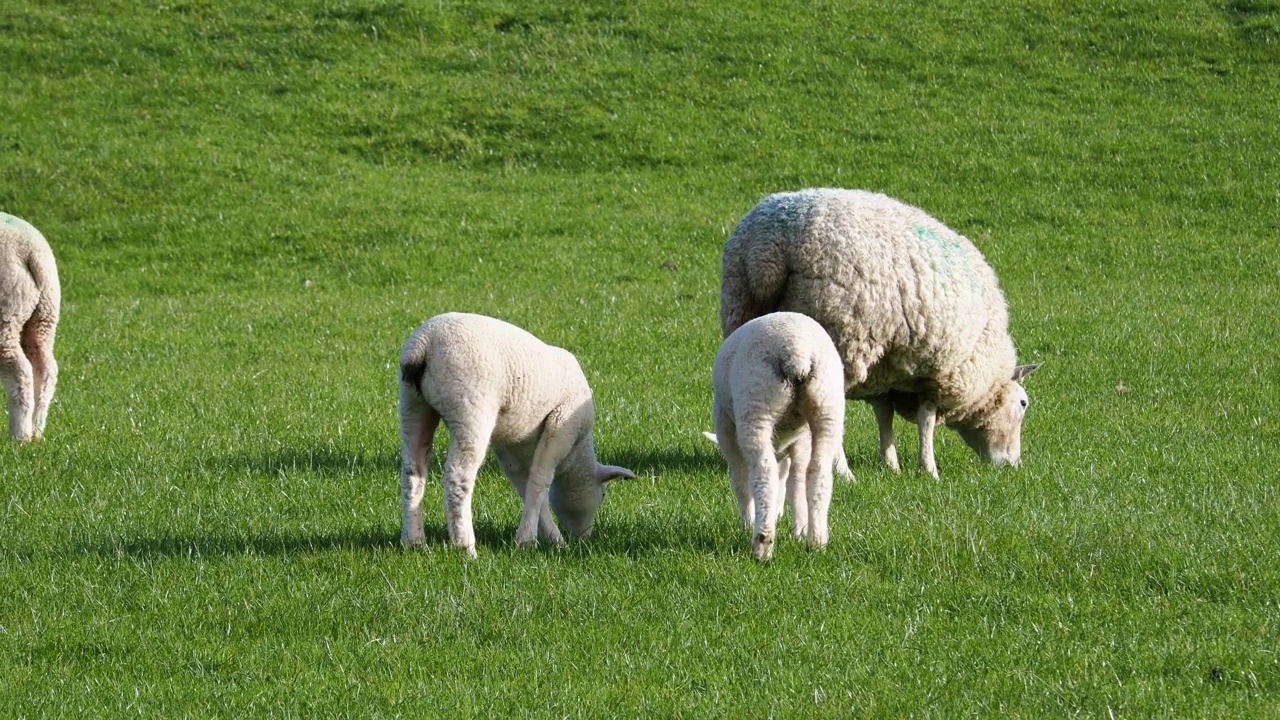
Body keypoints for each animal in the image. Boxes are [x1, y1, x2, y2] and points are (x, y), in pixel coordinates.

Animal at [0, 210, 60, 440]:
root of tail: (31, 251)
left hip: (6, 314)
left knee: (19, 371)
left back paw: (19, 436)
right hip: (44, 315)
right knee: (45, 370)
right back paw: (35, 430)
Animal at [399, 310, 634, 556]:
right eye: (603, 495)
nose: (584, 539)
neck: (576, 453)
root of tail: (423, 344)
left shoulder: (511, 448)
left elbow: (527, 487)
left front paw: (552, 538)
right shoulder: (561, 426)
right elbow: (541, 480)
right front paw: (527, 541)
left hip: (413, 406)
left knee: (412, 473)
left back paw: (414, 541)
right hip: (471, 408)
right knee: (458, 477)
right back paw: (466, 547)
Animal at [711, 311, 849, 558]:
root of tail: (796, 350)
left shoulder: (724, 427)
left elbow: (739, 479)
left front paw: (746, 523)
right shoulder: (801, 439)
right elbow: (795, 481)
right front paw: (800, 529)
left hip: (756, 403)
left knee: (763, 471)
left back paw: (762, 542)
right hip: (828, 405)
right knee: (818, 471)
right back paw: (817, 541)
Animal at [721, 188, 1039, 474]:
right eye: (1022, 403)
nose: (1013, 466)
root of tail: (765, 251)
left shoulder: (884, 374)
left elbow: (884, 415)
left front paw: (890, 464)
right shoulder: (940, 373)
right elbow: (926, 420)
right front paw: (929, 469)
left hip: (745, 320)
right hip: (837, 338)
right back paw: (842, 472)